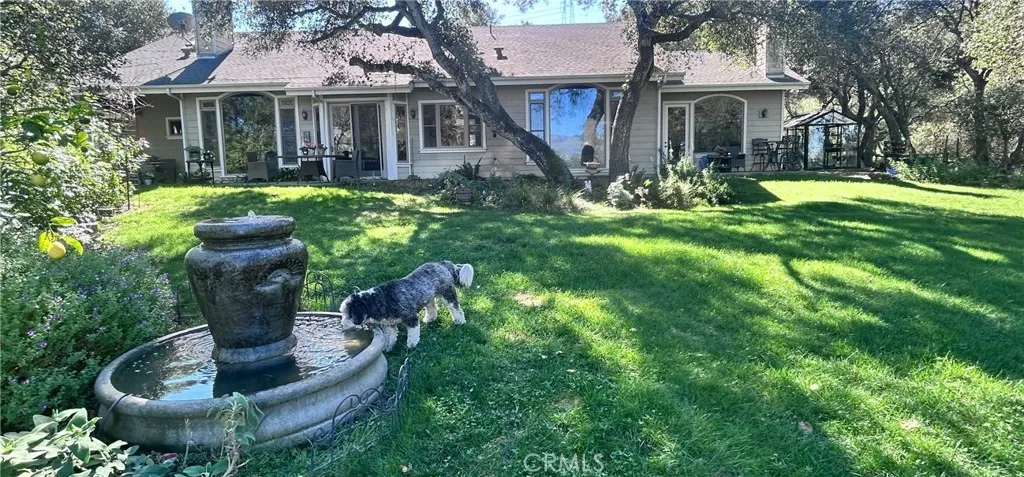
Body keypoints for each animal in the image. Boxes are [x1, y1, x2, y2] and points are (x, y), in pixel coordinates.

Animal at [339, 261, 474, 351]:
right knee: (432, 308)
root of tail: (443, 263)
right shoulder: (389, 325)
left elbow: (413, 334)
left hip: (448, 293)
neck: (380, 299)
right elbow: (390, 338)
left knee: (456, 309)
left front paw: (411, 345)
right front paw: (388, 348)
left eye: (349, 314)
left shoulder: (411, 318)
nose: (342, 324)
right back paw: (429, 319)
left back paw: (460, 321)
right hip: (428, 296)